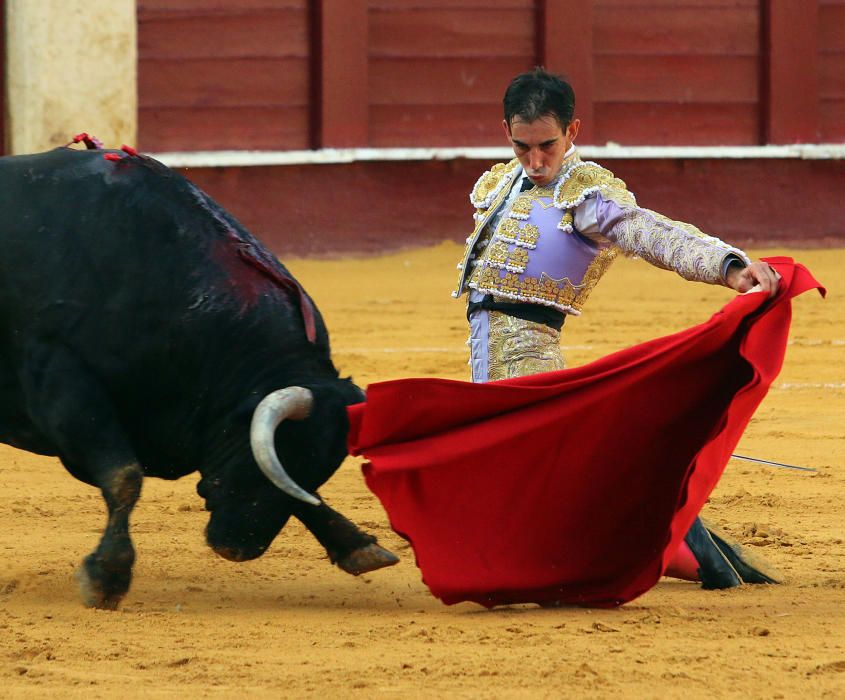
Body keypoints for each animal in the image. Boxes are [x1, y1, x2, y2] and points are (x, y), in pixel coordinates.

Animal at [0, 146, 398, 608]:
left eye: (318, 466)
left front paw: (356, 545)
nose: (239, 547)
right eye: (286, 452)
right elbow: (124, 477)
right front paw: (106, 579)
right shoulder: (64, 381)